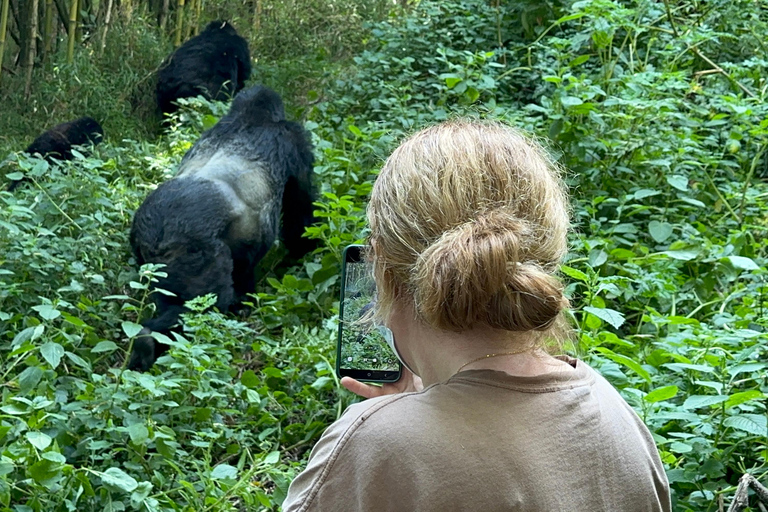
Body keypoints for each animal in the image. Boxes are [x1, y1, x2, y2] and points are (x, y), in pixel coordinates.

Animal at [129, 86, 316, 370]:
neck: (250, 117)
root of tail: (161, 236)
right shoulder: (295, 140)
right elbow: (301, 214)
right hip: (197, 252)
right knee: (206, 305)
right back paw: (149, 340)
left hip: (149, 258)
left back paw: (145, 346)